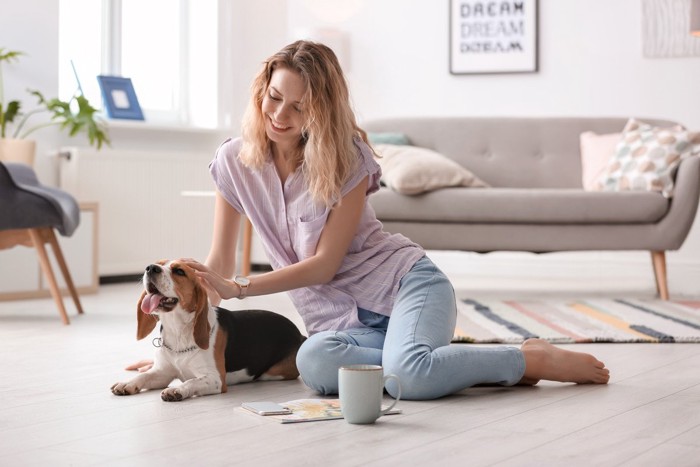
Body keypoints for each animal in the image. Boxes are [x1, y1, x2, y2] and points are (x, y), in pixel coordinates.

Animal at [110, 260, 304, 402]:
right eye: (158, 263)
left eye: (179, 271)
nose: (150, 268)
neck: (178, 331)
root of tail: (300, 335)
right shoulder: (162, 373)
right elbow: (144, 376)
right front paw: (127, 383)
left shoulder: (215, 379)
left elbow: (192, 380)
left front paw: (177, 389)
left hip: (274, 372)